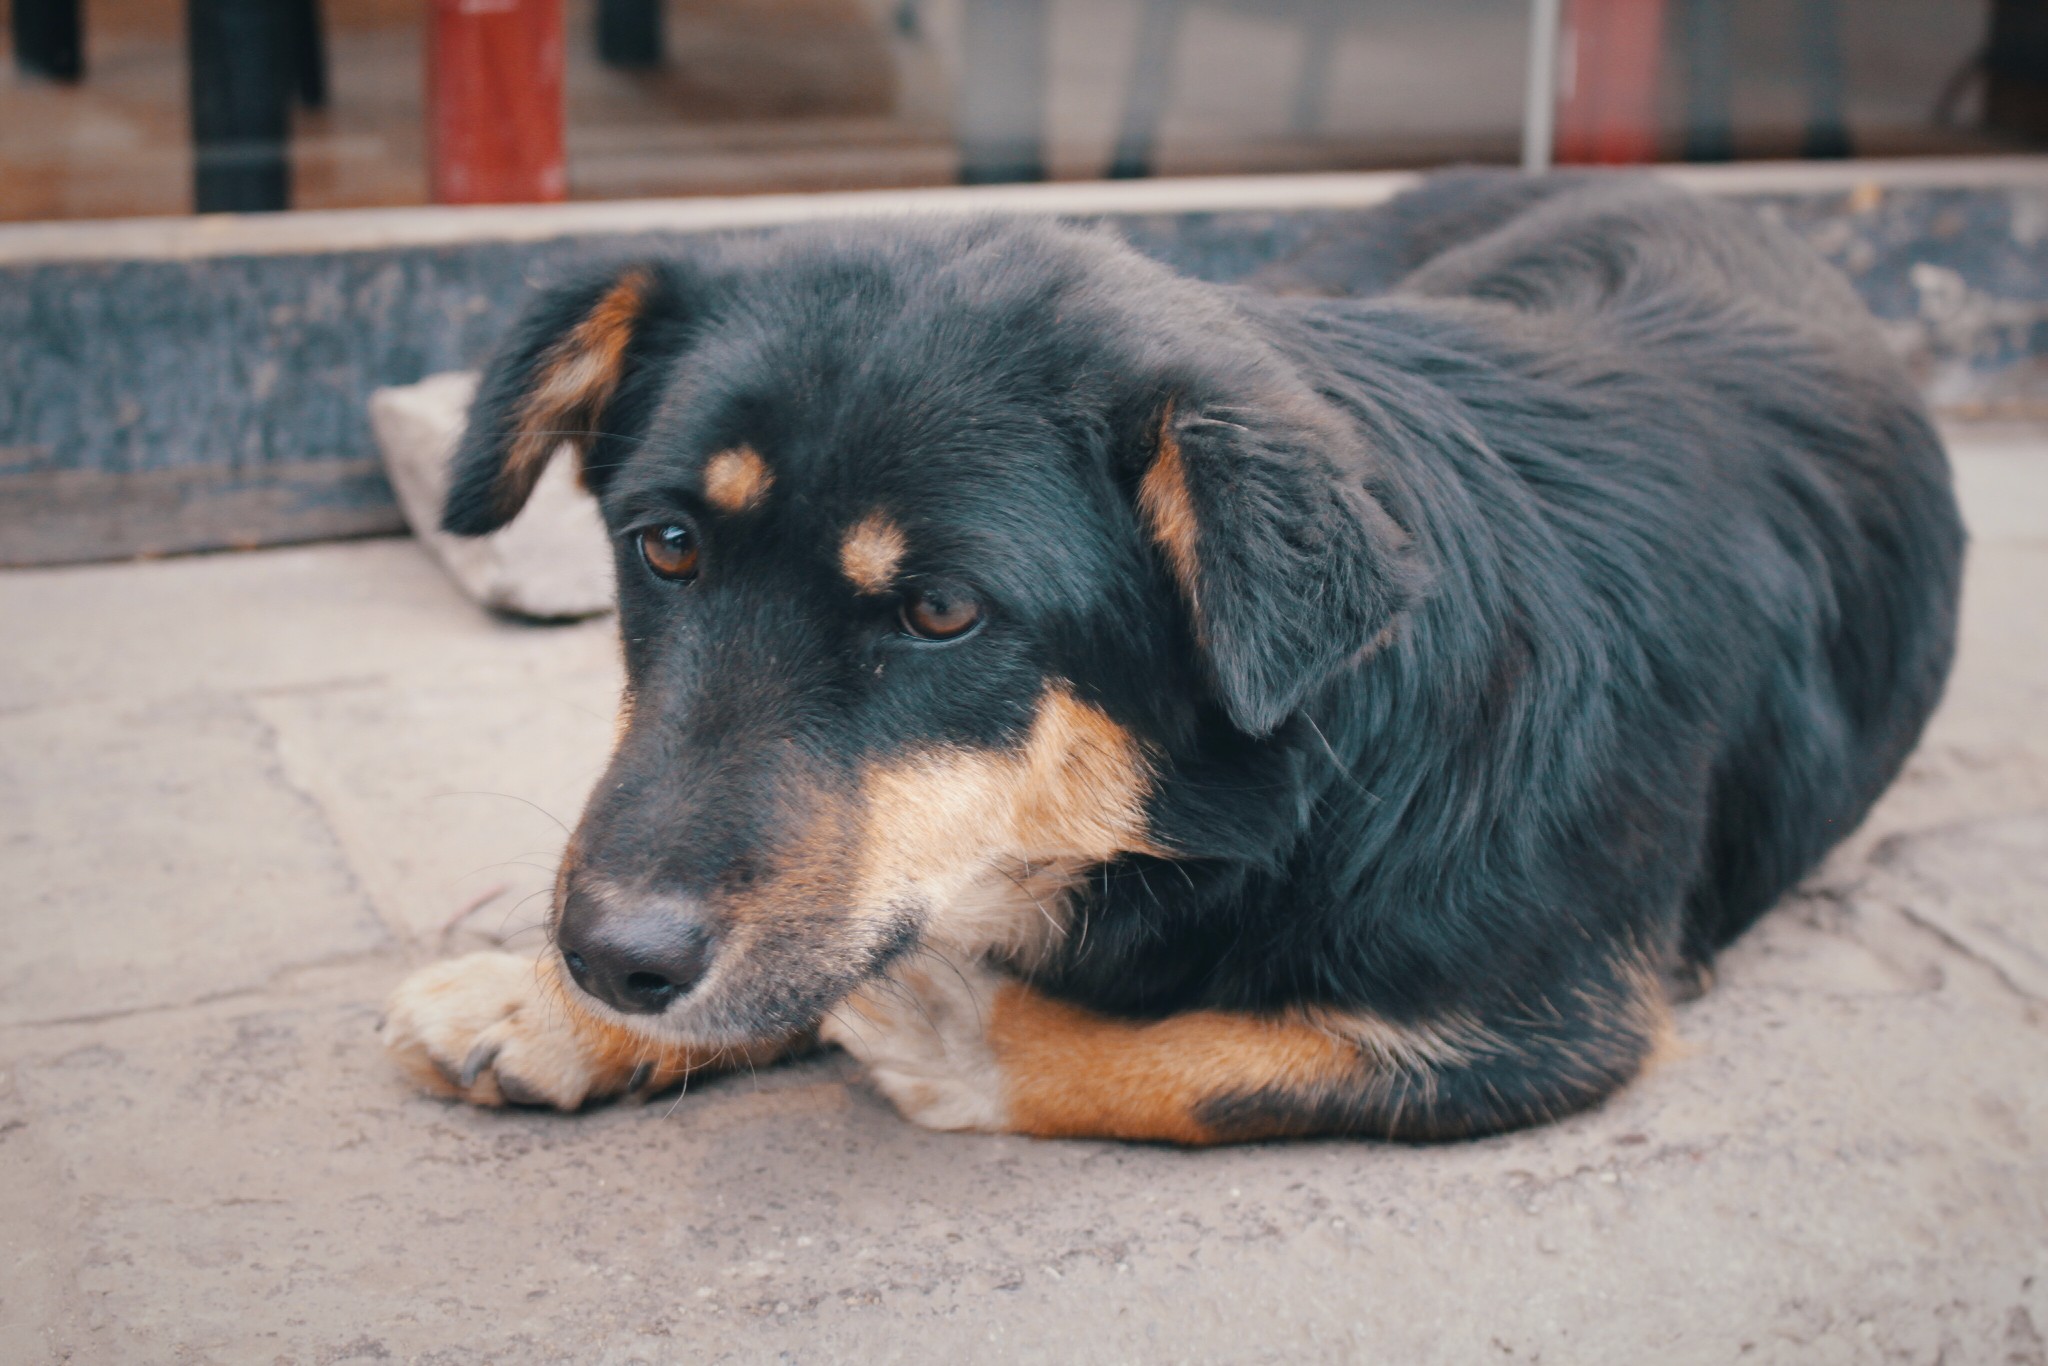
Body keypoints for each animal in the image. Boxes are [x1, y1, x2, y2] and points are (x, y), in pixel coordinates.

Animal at [376, 176, 1957, 1146]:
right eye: (666, 547)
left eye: (939, 613)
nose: (609, 956)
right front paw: (539, 1004)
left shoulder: (1533, 1023)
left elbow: (1171, 1058)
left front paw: (945, 1027)